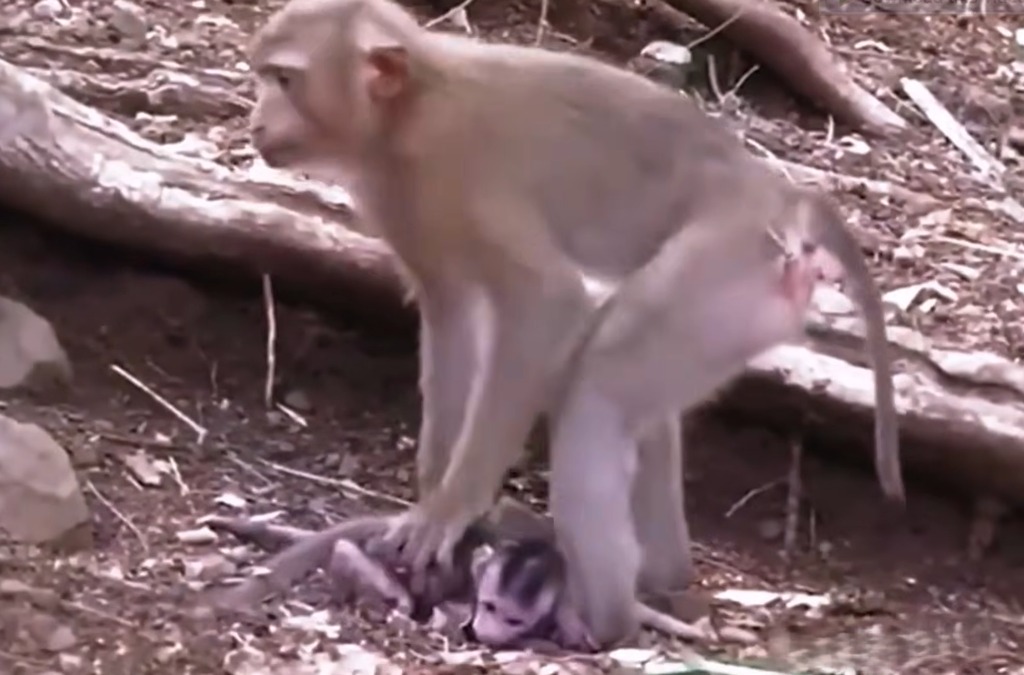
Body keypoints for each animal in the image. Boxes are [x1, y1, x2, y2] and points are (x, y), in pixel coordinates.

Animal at [246, 0, 902, 647]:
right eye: (264, 76)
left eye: (285, 80)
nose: (255, 122)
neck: (404, 114)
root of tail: (784, 200)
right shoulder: (402, 197)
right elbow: (450, 308)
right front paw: (432, 502)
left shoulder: (458, 169)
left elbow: (546, 302)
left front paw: (451, 509)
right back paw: (659, 576)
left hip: (729, 269)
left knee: (599, 386)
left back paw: (604, 622)